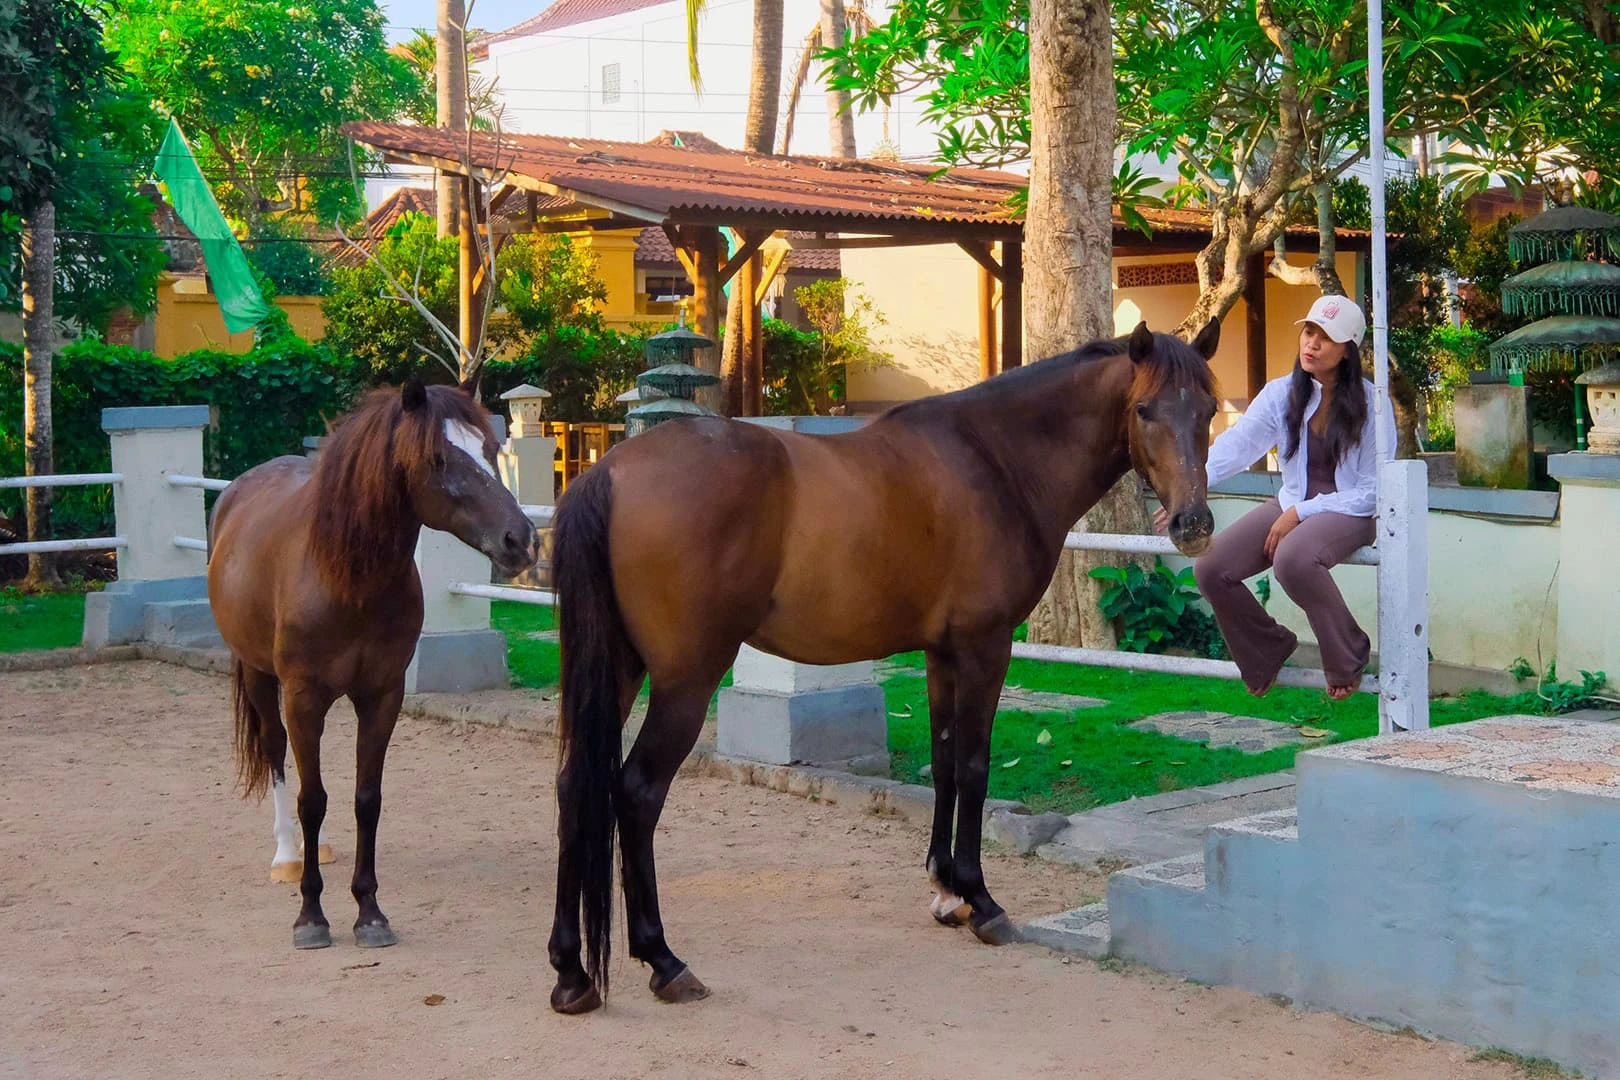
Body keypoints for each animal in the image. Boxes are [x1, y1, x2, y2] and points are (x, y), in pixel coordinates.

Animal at [208, 378, 539, 950]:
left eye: (492, 450)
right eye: (437, 458)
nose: (521, 540)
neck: (345, 577)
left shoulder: (382, 697)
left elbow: (367, 799)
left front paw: (369, 913)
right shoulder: (304, 699)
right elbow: (312, 799)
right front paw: (311, 916)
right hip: (258, 675)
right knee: (276, 753)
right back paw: (289, 855)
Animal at [545, 319, 1223, 1013]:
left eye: (1208, 410)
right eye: (1145, 410)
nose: (1194, 524)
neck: (997, 459)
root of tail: (609, 473)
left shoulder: (941, 653)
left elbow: (945, 762)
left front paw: (946, 890)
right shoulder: (986, 646)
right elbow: (974, 766)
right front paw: (980, 900)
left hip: (620, 669)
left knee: (575, 785)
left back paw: (572, 972)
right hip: (686, 679)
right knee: (636, 793)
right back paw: (663, 959)